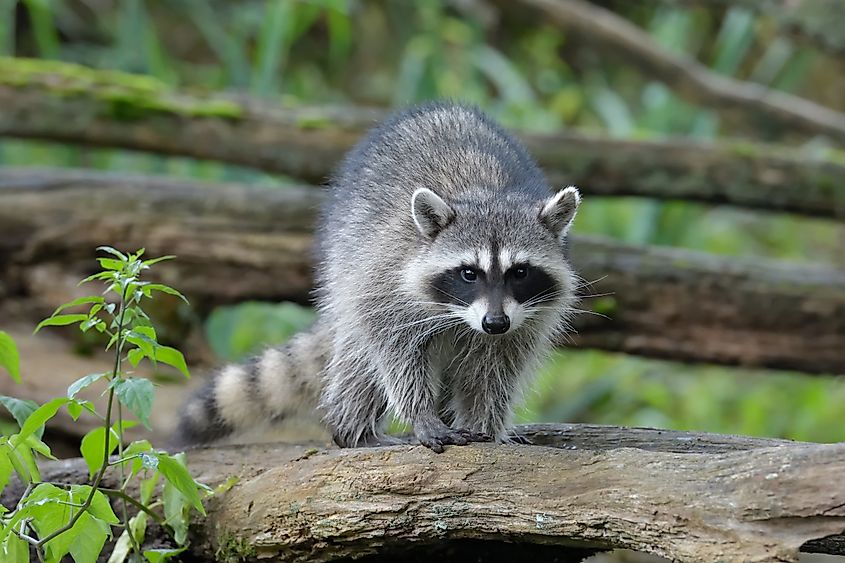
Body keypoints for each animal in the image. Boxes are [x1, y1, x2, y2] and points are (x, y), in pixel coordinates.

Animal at [178, 102, 581, 452]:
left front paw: (486, 425)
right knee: (358, 359)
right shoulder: (387, 278)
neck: (488, 195)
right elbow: (393, 350)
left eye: (520, 272)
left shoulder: (526, 318)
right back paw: (354, 428)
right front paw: (420, 413)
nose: (494, 323)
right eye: (469, 273)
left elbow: (495, 370)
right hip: (345, 259)